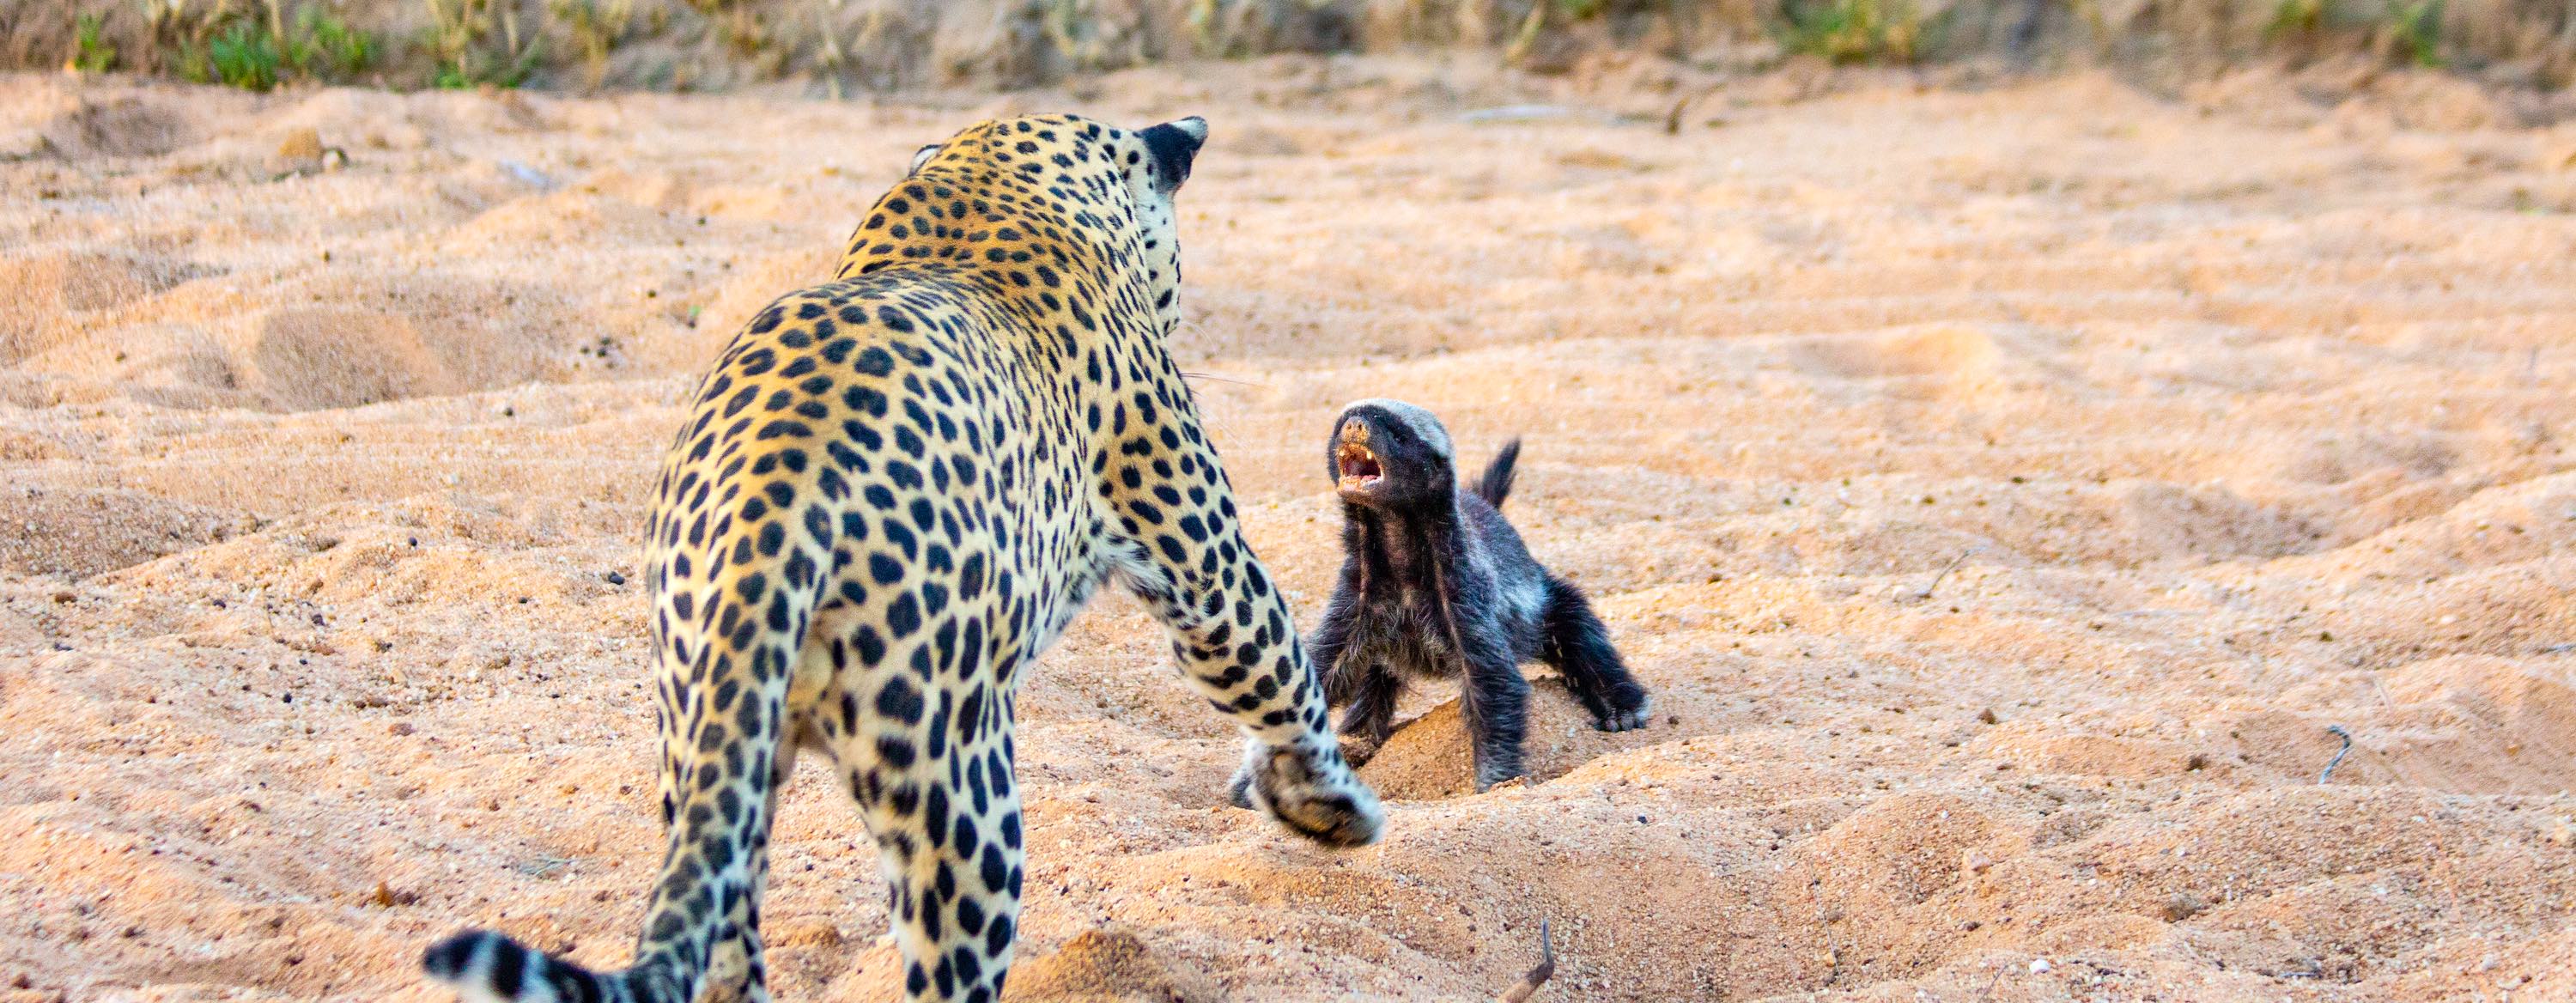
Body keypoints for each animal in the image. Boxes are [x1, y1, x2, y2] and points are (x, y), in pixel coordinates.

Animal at [417, 111, 1391, 1000]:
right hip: (957, 790)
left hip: (709, 752)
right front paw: (1330, 809)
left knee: (720, 940)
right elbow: (1284, 676)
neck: (983, 188)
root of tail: (768, 518)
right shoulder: (1207, 562)